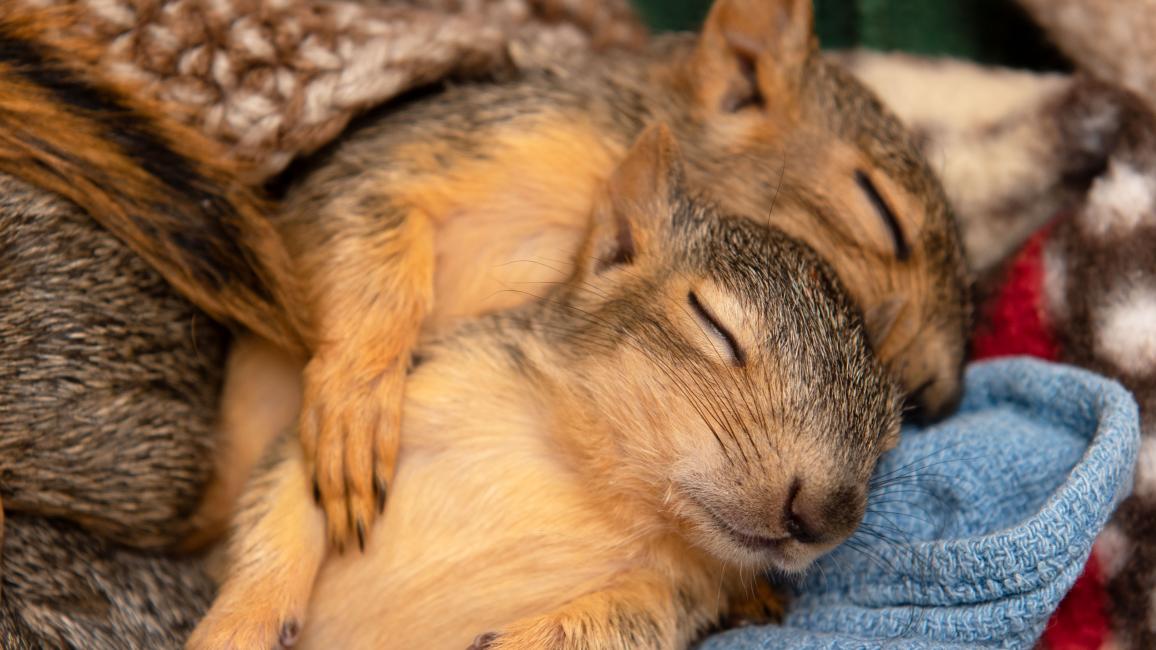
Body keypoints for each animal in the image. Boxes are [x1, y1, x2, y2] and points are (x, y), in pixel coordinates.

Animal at [188, 124, 903, 650]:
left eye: (889, 438)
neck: (597, 482)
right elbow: (287, 486)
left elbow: (617, 629)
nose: (825, 516)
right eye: (713, 323)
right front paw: (236, 626)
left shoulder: (678, 593)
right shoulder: (438, 380)